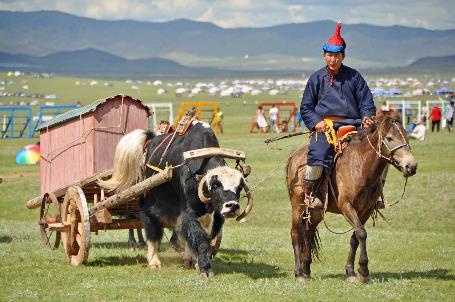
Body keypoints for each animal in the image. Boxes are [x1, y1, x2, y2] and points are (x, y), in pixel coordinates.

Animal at [286, 114, 418, 282]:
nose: (411, 166)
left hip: (316, 211)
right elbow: (361, 233)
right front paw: (363, 270)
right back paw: (298, 273)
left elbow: (356, 237)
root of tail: (294, 155)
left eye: (407, 137)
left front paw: (351, 271)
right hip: (298, 205)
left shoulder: (366, 210)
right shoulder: (347, 206)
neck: (360, 166)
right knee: (296, 233)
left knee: (308, 232)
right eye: (389, 138)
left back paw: (306, 269)